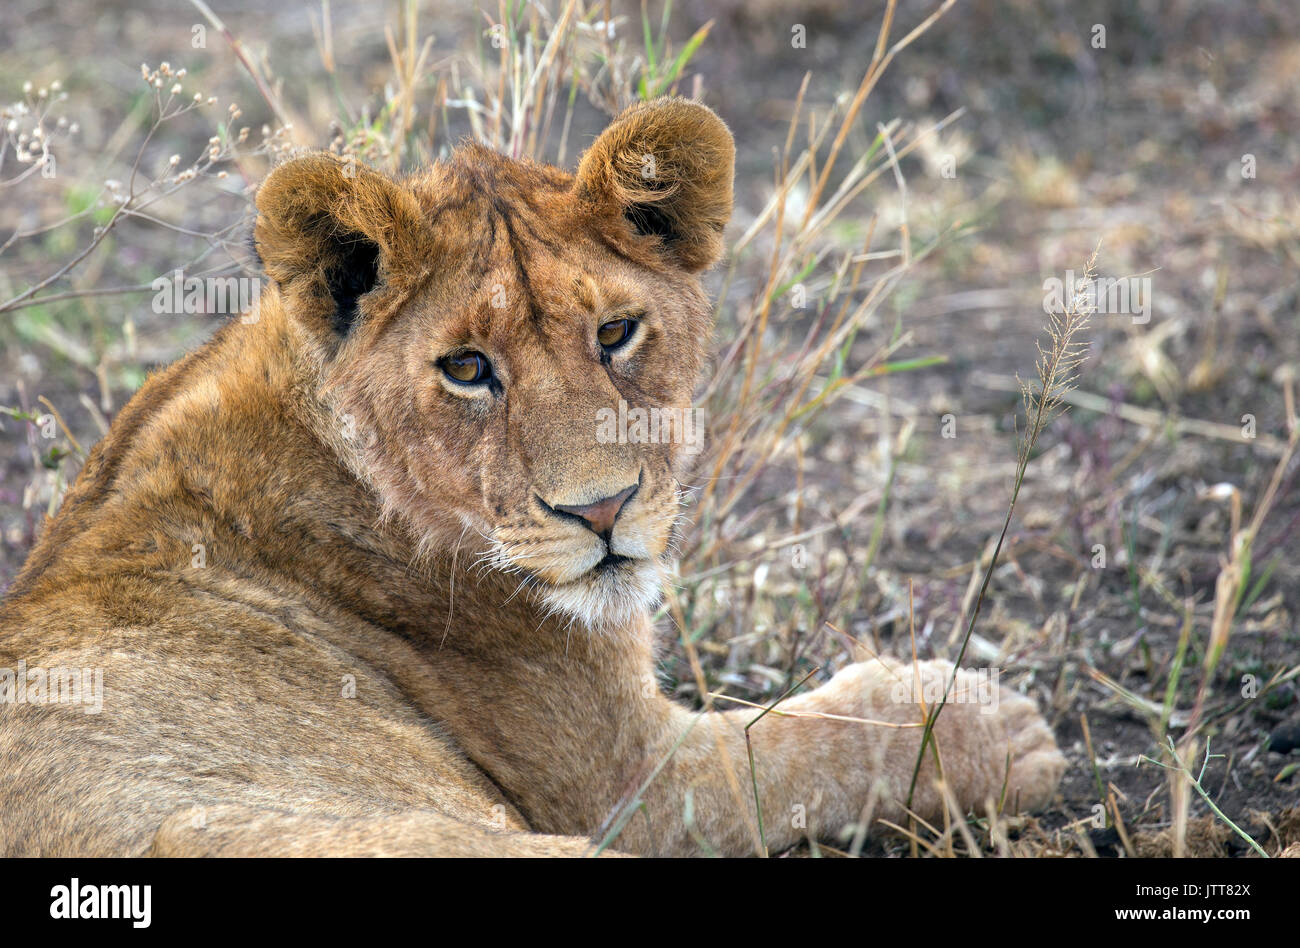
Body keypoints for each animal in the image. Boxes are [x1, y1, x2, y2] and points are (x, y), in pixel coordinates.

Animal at [0, 99, 1065, 856]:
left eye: (616, 332)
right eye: (467, 369)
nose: (603, 510)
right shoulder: (634, 786)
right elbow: (817, 747)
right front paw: (986, 726)